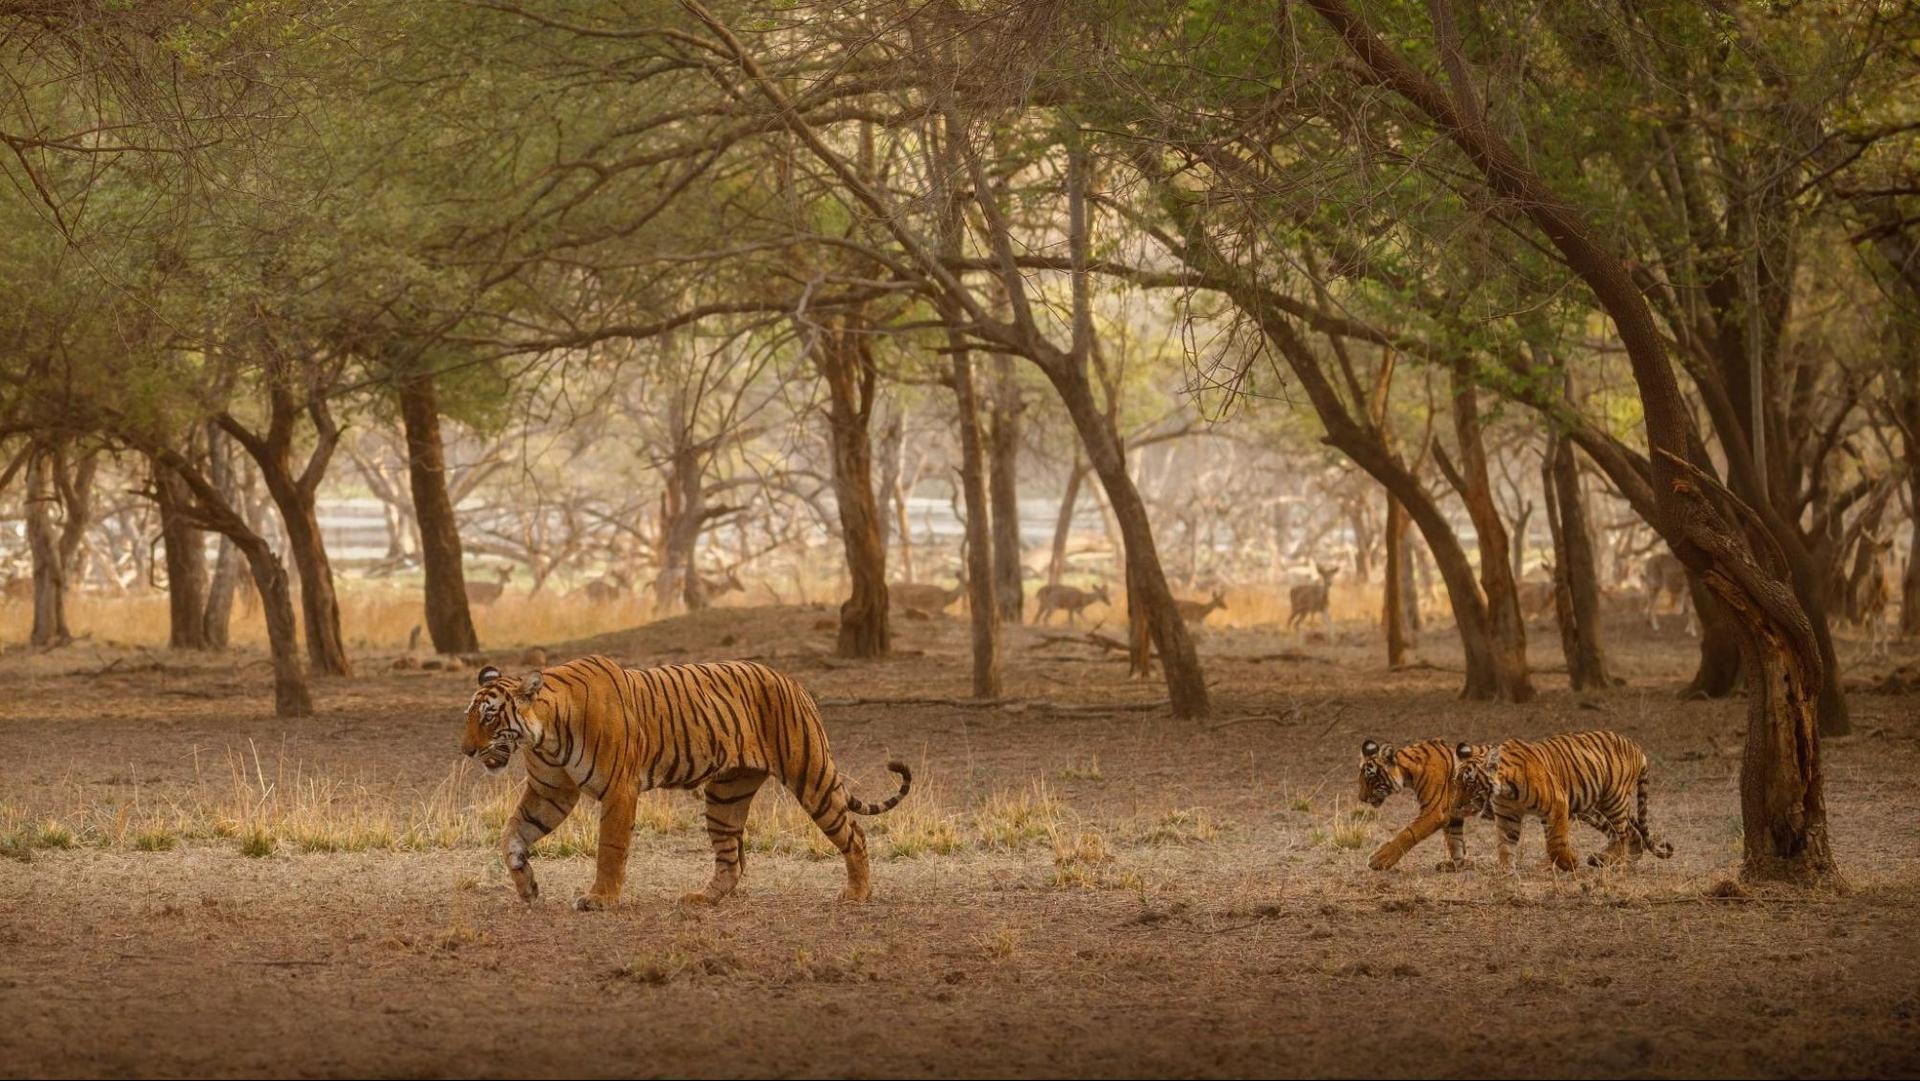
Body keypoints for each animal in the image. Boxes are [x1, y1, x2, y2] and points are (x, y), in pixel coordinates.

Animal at [461, 654, 911, 908]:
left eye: (489, 717)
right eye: (470, 716)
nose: (465, 750)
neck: (544, 735)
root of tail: (792, 681)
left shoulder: (619, 789)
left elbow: (609, 848)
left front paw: (600, 899)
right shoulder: (550, 792)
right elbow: (512, 834)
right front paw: (527, 887)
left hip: (811, 776)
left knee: (855, 834)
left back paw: (857, 894)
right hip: (726, 794)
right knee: (731, 860)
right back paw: (701, 899)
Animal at [1358, 738, 1494, 872]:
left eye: (1370, 779)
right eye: (1361, 779)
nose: (1361, 798)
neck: (1407, 773)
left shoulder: (1434, 812)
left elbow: (1408, 833)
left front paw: (1380, 859)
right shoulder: (1453, 813)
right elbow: (1455, 841)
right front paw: (1456, 865)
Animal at [1451, 730, 1674, 872]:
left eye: (1470, 784)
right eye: (1456, 783)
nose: (1455, 806)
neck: (1505, 790)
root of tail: (1636, 746)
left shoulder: (1556, 804)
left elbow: (1555, 843)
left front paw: (1570, 863)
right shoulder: (1507, 815)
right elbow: (1505, 844)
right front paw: (1505, 872)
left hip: (1613, 800)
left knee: (1621, 834)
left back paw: (1609, 860)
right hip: (1592, 809)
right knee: (1629, 832)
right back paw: (1621, 860)